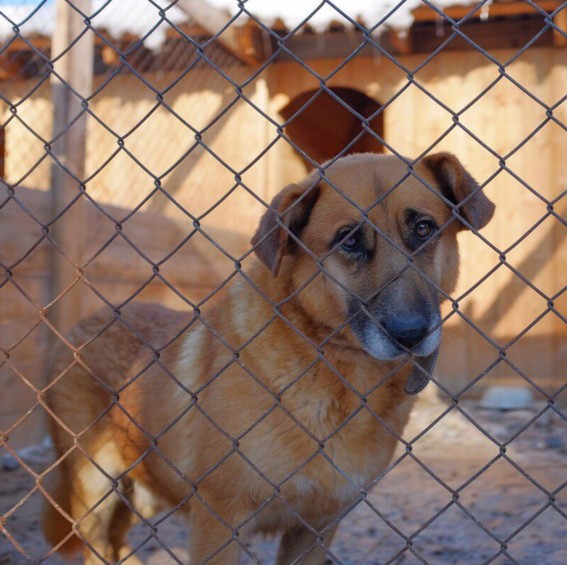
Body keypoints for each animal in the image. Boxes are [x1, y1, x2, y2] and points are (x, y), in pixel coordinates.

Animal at [42, 152, 494, 560]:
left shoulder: (315, 530)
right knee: (96, 545)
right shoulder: (218, 525)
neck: (335, 369)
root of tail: (85, 324)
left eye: (423, 228)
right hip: (94, 491)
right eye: (349, 241)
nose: (411, 333)